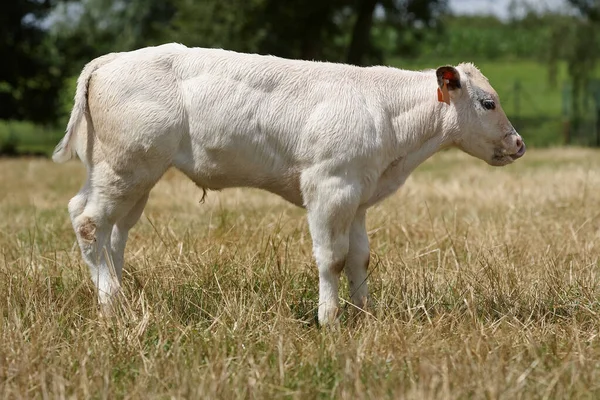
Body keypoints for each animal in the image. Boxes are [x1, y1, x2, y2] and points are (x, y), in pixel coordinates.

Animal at [52, 43, 524, 324]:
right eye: (488, 103)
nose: (518, 144)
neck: (385, 114)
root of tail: (110, 59)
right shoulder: (328, 188)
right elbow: (332, 258)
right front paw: (330, 319)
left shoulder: (357, 197)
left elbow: (360, 258)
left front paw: (364, 314)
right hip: (127, 166)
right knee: (89, 222)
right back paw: (111, 302)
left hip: (127, 174)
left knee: (112, 230)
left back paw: (118, 294)